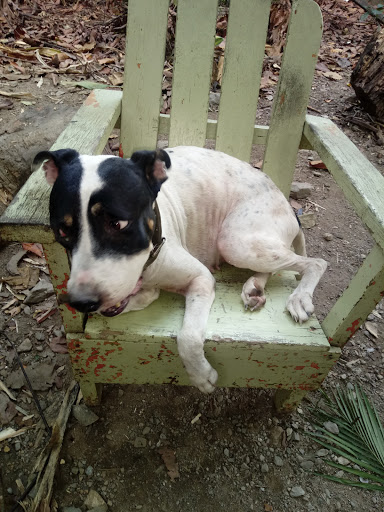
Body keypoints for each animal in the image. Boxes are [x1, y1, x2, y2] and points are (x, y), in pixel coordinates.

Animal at [33, 146, 328, 394]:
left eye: (117, 224)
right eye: (62, 231)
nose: (81, 302)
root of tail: (287, 204)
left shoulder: (200, 278)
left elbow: (187, 335)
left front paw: (201, 376)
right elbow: (136, 298)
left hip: (235, 241)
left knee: (316, 262)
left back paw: (299, 297)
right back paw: (254, 287)